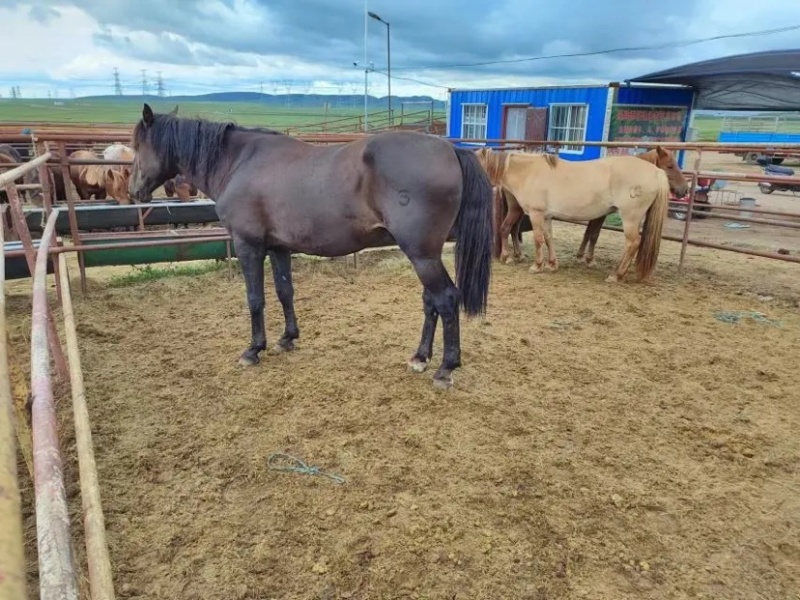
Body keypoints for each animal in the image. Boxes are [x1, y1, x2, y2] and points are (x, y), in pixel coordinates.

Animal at [128, 103, 494, 389]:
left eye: (137, 146)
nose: (134, 192)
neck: (239, 162)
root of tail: (451, 149)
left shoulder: (248, 245)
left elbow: (255, 299)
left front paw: (253, 349)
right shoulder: (278, 248)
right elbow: (284, 291)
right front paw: (287, 338)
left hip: (421, 254)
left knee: (445, 299)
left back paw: (445, 369)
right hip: (423, 253)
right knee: (431, 301)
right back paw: (420, 357)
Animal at [475, 147, 673, 283]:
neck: (529, 172)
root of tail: (656, 172)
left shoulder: (536, 214)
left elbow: (539, 239)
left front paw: (537, 266)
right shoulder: (546, 216)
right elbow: (548, 238)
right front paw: (552, 264)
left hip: (630, 217)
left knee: (633, 243)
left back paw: (616, 275)